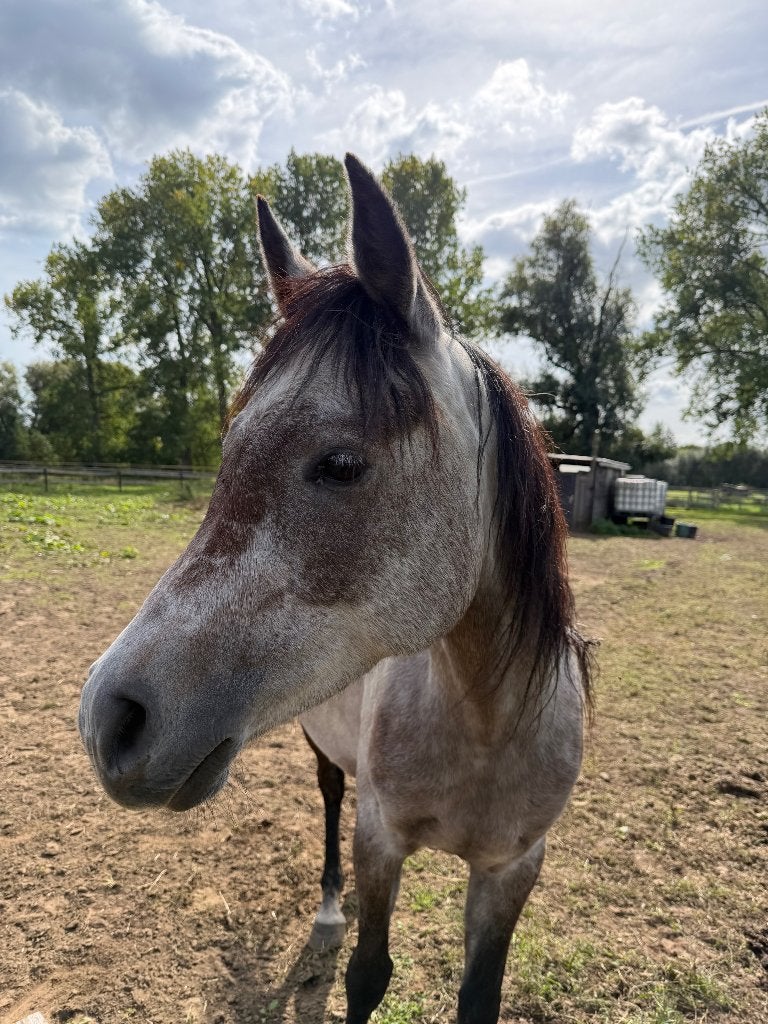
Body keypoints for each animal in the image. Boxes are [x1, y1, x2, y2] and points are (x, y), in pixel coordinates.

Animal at [78, 154, 593, 1024]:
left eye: (343, 464)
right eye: (228, 452)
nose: (109, 719)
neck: (487, 722)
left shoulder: (513, 869)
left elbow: (477, 997)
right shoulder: (380, 838)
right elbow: (368, 974)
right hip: (323, 755)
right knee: (326, 804)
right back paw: (326, 910)